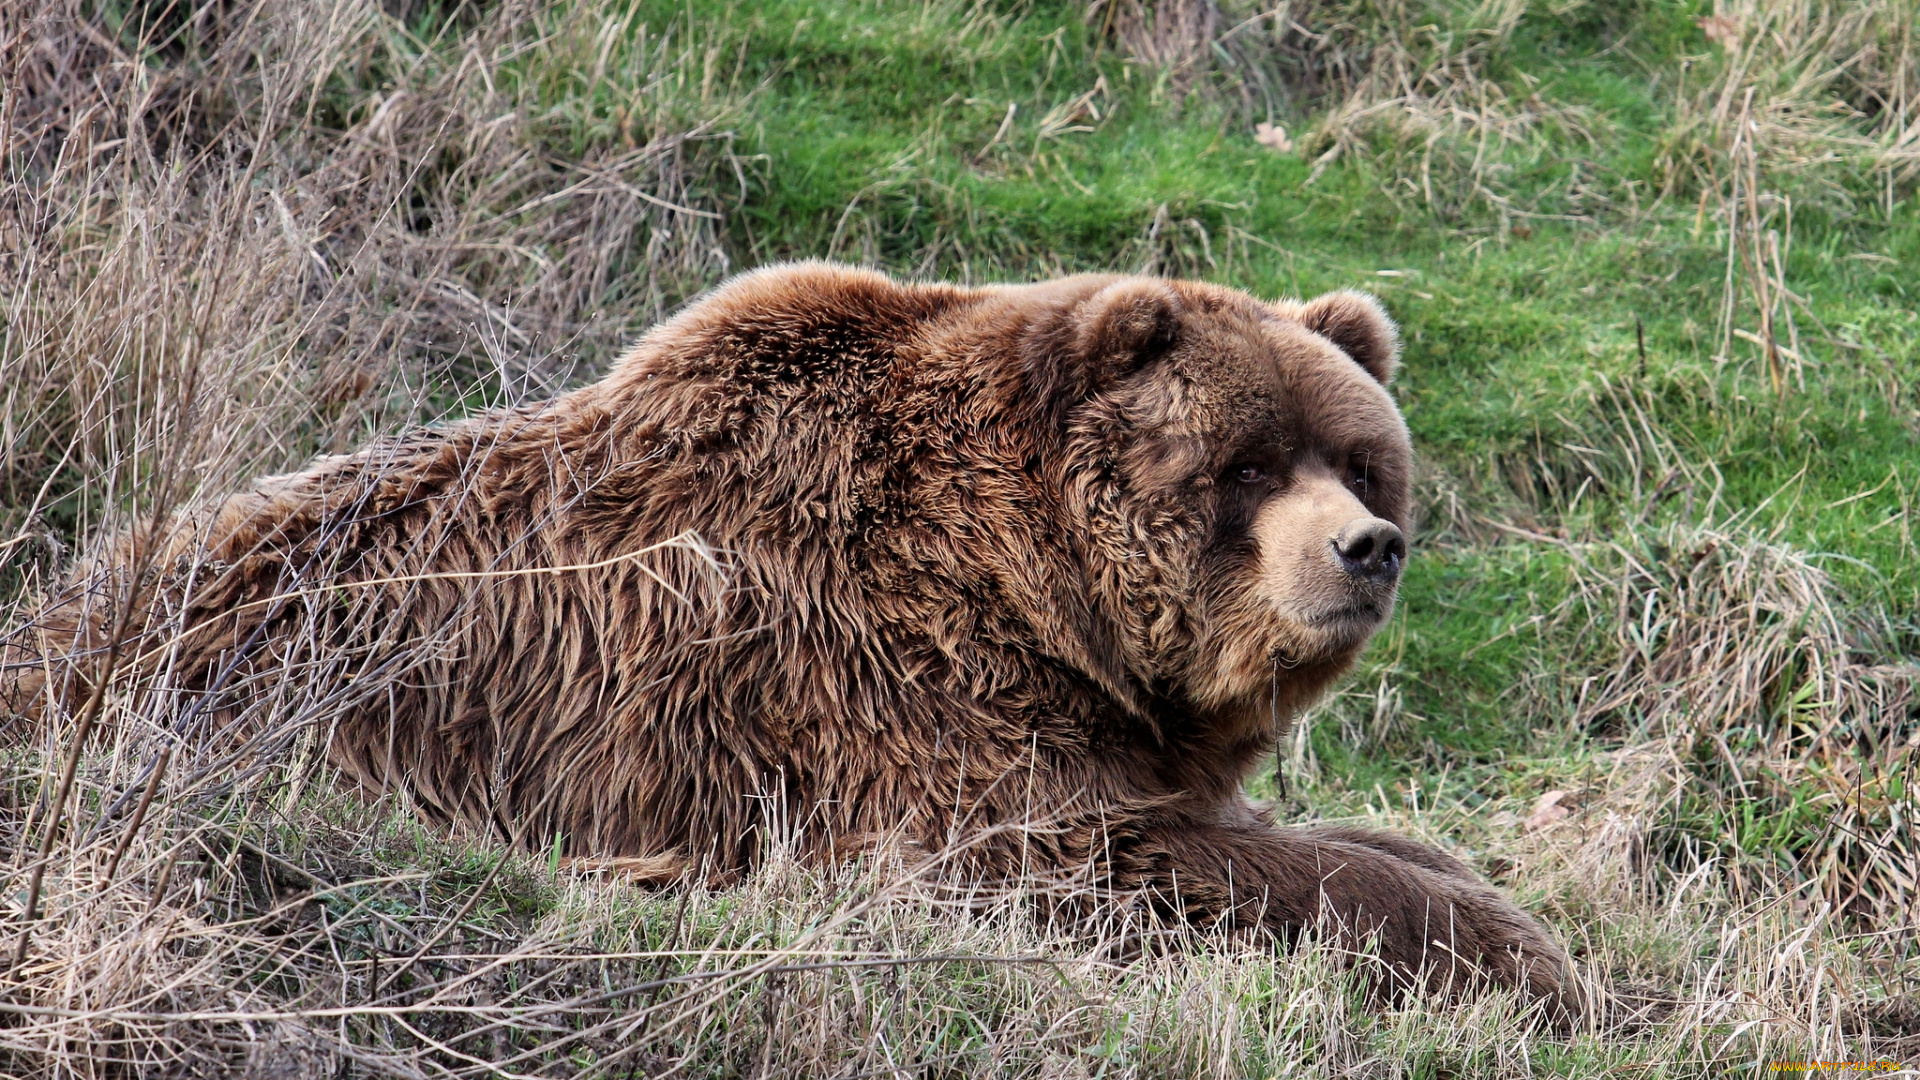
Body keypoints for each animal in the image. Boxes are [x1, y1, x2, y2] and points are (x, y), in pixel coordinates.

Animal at [7, 261, 1574, 1006]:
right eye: (1245, 463)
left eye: (1362, 459)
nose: (1366, 548)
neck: (1035, 585)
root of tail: (58, 625)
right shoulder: (885, 691)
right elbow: (1087, 862)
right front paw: (1528, 955)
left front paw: (1467, 890)